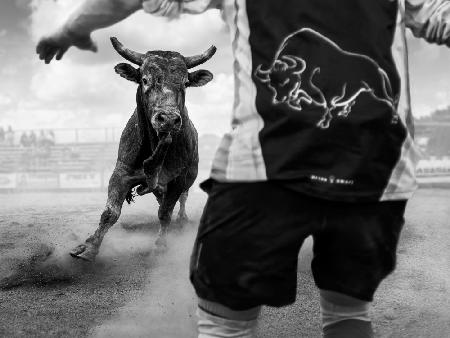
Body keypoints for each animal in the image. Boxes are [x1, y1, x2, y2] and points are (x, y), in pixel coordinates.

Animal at [70, 38, 216, 262]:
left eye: (185, 83)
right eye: (145, 80)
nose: (168, 119)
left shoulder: (178, 179)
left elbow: (165, 213)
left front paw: (160, 246)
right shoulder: (121, 172)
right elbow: (110, 213)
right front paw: (89, 247)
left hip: (189, 176)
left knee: (182, 198)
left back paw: (182, 220)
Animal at [255, 27, 400, 128]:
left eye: (286, 81)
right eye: (271, 84)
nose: (278, 99)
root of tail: (378, 68)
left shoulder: (329, 94)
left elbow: (328, 107)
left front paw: (323, 123)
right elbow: (301, 96)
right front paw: (297, 103)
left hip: (377, 90)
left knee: (390, 101)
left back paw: (394, 119)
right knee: (352, 99)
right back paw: (344, 112)